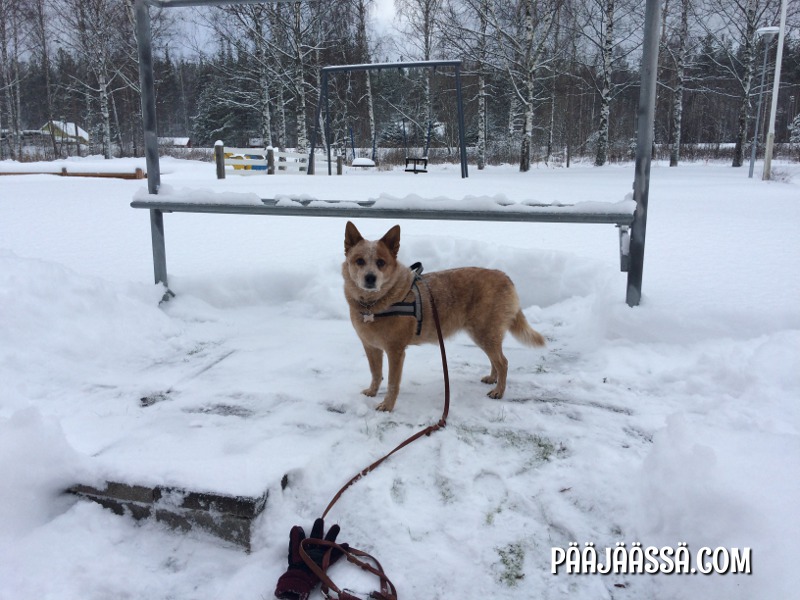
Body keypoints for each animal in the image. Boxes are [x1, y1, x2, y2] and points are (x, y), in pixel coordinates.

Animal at [342, 221, 545, 412]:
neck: (373, 304)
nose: (370, 278)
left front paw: (388, 405)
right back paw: (492, 378)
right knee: (496, 360)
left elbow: (392, 383)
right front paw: (372, 391)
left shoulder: (395, 351)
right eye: (359, 261)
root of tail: (505, 277)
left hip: (484, 333)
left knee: (503, 362)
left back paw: (499, 391)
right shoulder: (370, 346)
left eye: (380, 262)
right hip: (485, 334)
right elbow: (376, 373)